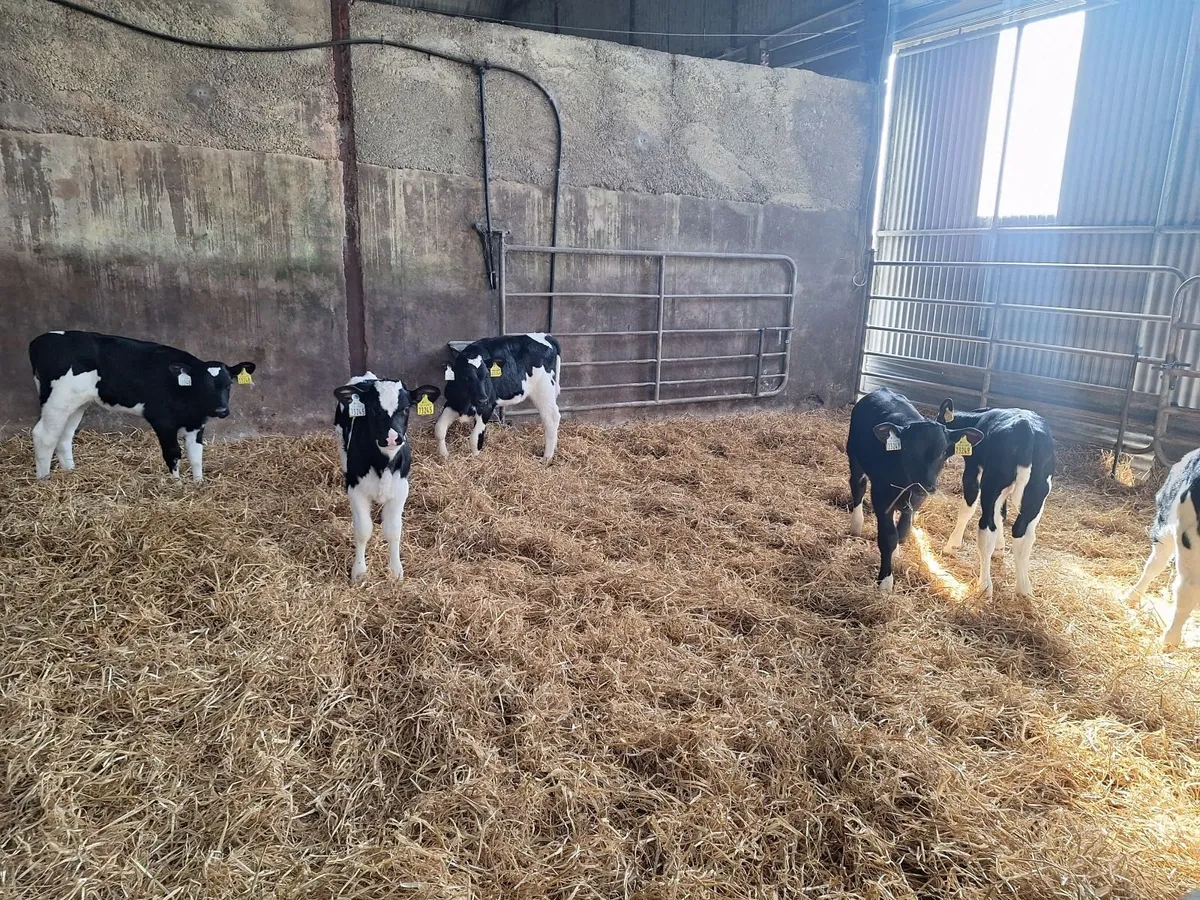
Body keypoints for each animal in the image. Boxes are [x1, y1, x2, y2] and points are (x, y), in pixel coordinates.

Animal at [29, 330, 255, 482]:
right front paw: (177, 485)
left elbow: (196, 455)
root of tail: (39, 341)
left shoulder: (197, 424)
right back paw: (44, 481)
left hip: (76, 403)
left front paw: (198, 484)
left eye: (229, 384)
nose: (221, 411)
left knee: (64, 436)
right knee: (44, 436)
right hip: (57, 400)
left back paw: (70, 473)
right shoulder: (163, 420)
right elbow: (173, 453)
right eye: (202, 385)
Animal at [334, 373, 440, 583]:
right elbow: (363, 530)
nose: (392, 438)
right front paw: (359, 571)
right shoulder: (355, 490)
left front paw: (396, 571)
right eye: (374, 408)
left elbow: (393, 531)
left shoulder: (400, 491)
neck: (383, 464)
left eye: (406, 408)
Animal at [847, 387, 984, 592]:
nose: (925, 484)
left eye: (943, 452)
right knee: (858, 486)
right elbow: (888, 537)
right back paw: (856, 524)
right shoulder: (881, 497)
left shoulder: (916, 500)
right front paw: (885, 581)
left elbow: (902, 532)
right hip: (854, 455)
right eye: (909, 451)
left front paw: (895, 555)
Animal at [935, 400, 1055, 599]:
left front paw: (951, 546)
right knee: (1024, 534)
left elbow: (967, 510)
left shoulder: (972, 470)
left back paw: (984, 587)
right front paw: (1000, 549)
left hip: (992, 483)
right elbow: (1002, 514)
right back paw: (1024, 589)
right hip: (1038, 491)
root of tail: (1025, 427)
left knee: (986, 528)